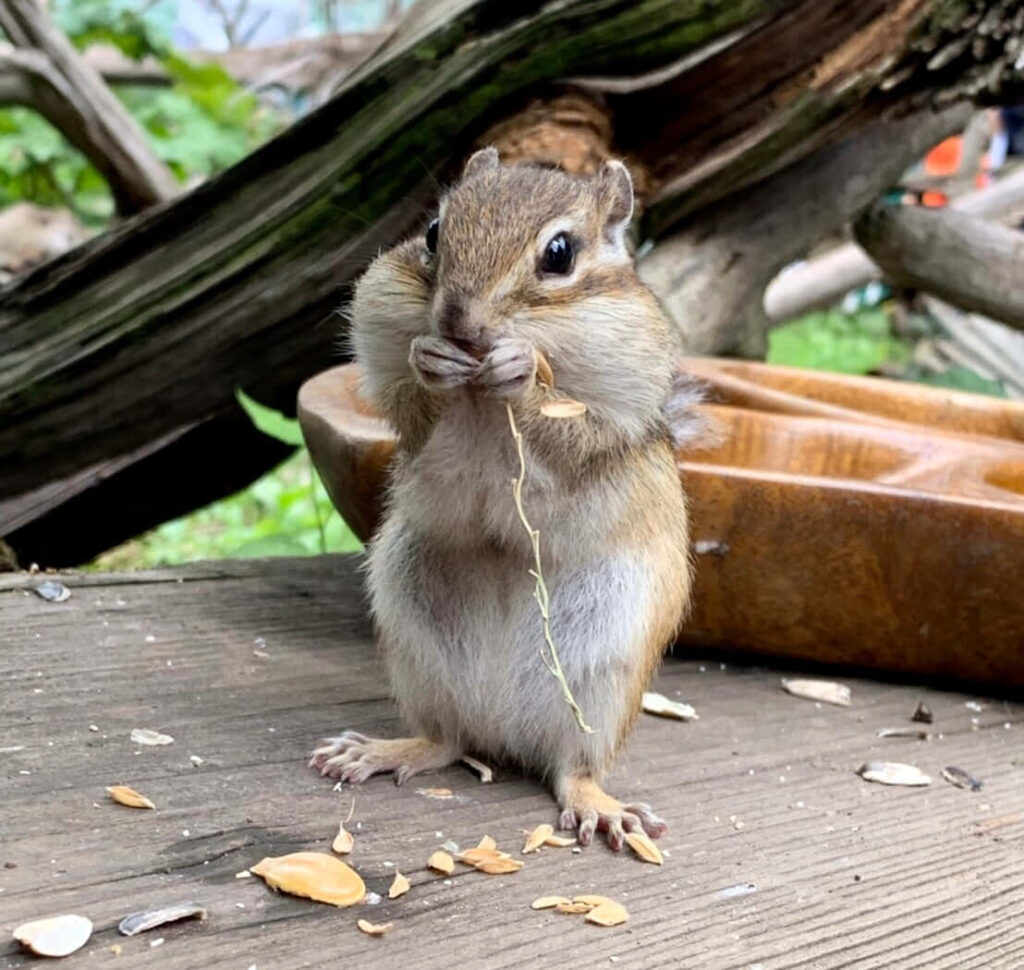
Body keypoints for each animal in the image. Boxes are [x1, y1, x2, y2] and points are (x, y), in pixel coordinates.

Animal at [310, 148, 693, 848]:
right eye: (434, 233)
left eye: (560, 254)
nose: (457, 323)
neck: (479, 394)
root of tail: (503, 729)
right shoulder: (385, 337)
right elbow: (408, 403)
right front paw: (430, 358)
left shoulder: (622, 397)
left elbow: (580, 426)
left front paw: (520, 370)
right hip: (415, 640)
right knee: (446, 738)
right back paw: (382, 751)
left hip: (605, 675)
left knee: (573, 768)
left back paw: (600, 805)